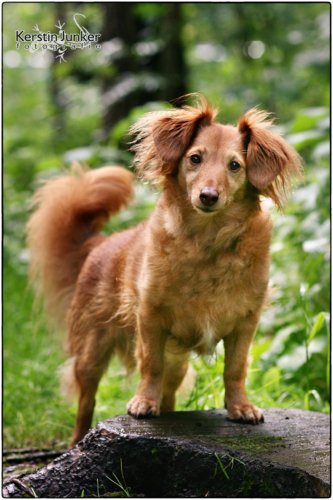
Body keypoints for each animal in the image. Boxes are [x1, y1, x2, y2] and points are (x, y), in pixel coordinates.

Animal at [26, 94, 300, 450]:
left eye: (235, 166)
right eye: (195, 158)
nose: (208, 196)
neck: (208, 243)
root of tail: (101, 243)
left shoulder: (244, 324)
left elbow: (235, 369)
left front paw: (240, 406)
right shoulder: (151, 319)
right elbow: (150, 366)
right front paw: (144, 401)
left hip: (176, 364)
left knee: (170, 398)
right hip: (91, 353)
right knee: (86, 402)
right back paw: (78, 440)